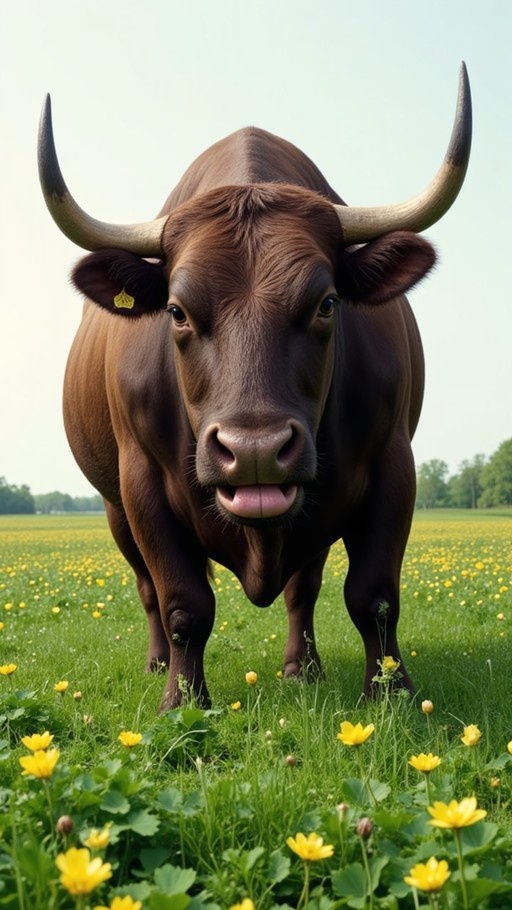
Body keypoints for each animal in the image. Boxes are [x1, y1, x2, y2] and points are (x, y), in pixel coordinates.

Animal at [38, 65, 471, 711]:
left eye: (327, 303)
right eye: (176, 311)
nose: (255, 452)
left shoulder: (393, 464)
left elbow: (373, 595)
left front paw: (392, 694)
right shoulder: (141, 483)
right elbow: (183, 602)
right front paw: (181, 702)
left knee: (304, 587)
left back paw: (303, 668)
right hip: (115, 510)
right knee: (147, 590)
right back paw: (157, 662)